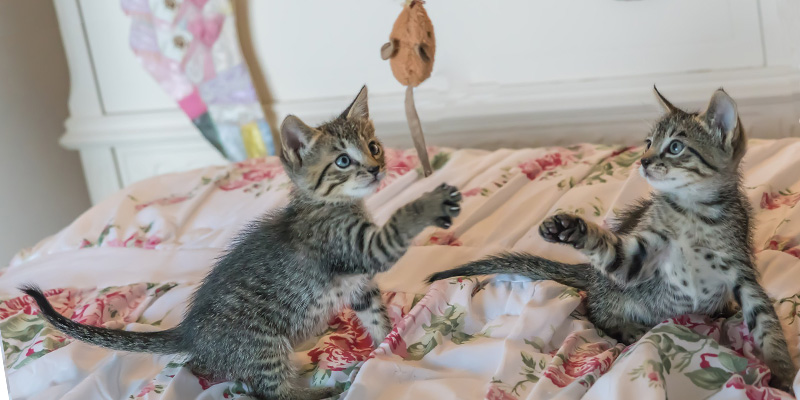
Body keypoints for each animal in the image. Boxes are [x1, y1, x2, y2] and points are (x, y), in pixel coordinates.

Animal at [23, 86, 462, 400]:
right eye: (342, 161)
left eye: (372, 147)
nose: (375, 169)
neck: (330, 204)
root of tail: (192, 331)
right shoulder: (356, 248)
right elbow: (399, 222)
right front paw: (430, 201)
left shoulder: (360, 286)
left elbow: (375, 316)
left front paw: (390, 346)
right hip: (264, 343)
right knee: (269, 392)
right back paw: (324, 390)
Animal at [432, 87, 800, 390]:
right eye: (648, 143)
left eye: (675, 147)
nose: (643, 161)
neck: (693, 213)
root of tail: (592, 278)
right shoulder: (638, 259)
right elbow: (611, 250)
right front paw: (570, 228)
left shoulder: (742, 271)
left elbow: (766, 323)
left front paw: (782, 374)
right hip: (614, 292)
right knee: (593, 310)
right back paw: (627, 328)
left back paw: (722, 309)